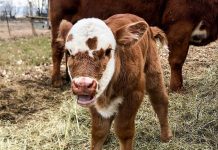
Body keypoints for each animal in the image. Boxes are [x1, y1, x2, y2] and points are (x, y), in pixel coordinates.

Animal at [49, 0, 218, 91]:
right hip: (59, 18)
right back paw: (56, 80)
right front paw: (176, 87)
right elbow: (176, 61)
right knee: (57, 49)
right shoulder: (180, 25)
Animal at [57, 13, 172, 149]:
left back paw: (166, 136)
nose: (83, 84)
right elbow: (99, 131)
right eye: (68, 52)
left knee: (159, 99)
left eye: (108, 51)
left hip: (153, 69)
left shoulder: (134, 93)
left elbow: (124, 130)